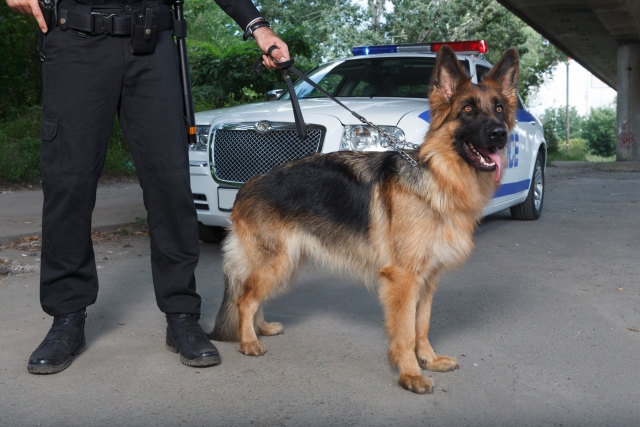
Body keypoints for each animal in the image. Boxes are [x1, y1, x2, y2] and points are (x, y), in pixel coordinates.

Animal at [210, 46, 520, 394]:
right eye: (467, 109)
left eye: (499, 109)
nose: (500, 134)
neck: (437, 178)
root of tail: (247, 186)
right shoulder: (403, 280)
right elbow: (405, 332)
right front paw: (410, 374)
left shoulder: (427, 280)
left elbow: (422, 325)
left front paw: (428, 360)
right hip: (277, 262)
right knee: (245, 300)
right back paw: (248, 341)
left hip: (285, 263)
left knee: (252, 294)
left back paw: (260, 328)